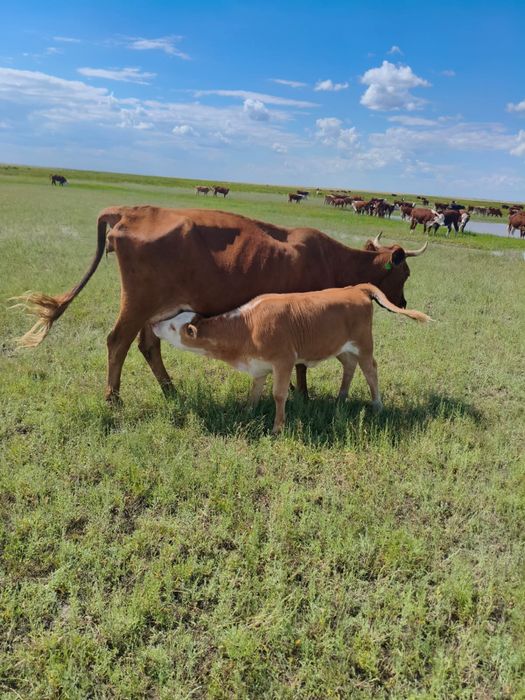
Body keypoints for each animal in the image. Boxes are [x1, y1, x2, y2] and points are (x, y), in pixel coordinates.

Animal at [14, 207, 428, 404]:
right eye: (405, 273)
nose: (403, 301)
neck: (329, 258)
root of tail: (130, 210)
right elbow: (301, 365)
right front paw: (305, 395)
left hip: (156, 308)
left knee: (148, 347)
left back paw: (171, 391)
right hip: (137, 304)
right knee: (117, 343)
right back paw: (113, 400)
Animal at [152, 284, 430, 433]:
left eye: (173, 327)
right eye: (173, 319)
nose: (154, 324)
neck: (247, 327)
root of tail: (355, 288)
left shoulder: (283, 361)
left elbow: (278, 395)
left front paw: (278, 427)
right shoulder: (259, 366)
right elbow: (254, 392)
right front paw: (248, 411)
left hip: (363, 345)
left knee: (370, 370)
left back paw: (377, 405)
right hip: (341, 347)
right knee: (350, 367)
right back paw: (340, 398)